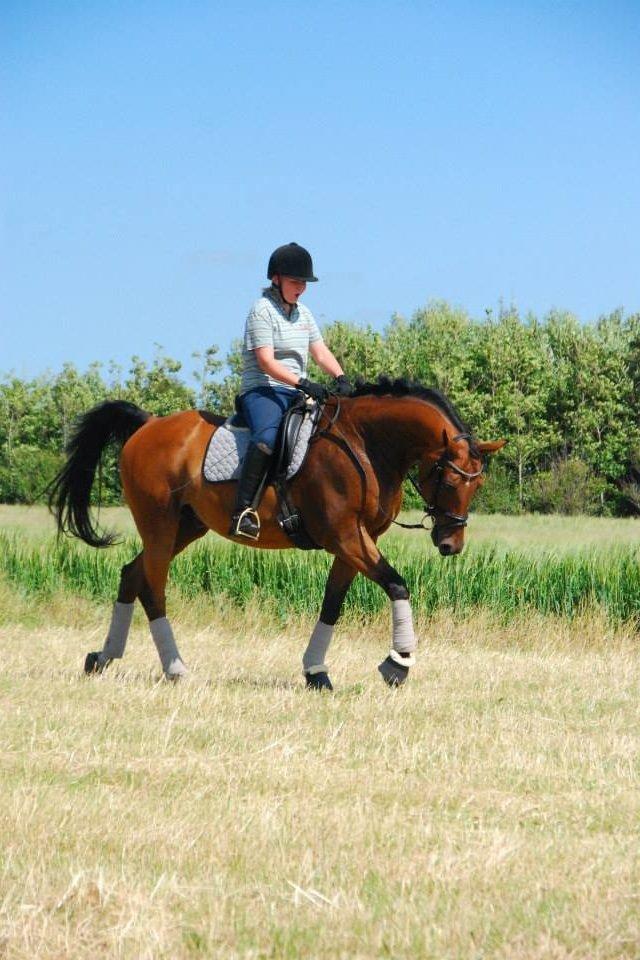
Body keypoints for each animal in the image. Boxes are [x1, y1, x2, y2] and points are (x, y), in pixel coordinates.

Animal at [48, 378, 505, 689]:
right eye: (450, 480)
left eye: (478, 484)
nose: (451, 544)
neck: (365, 445)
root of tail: (148, 425)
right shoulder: (344, 536)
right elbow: (396, 583)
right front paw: (398, 663)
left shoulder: (355, 542)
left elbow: (332, 603)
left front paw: (316, 671)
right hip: (159, 524)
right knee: (154, 585)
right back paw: (175, 668)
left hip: (187, 527)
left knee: (132, 575)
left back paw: (103, 657)